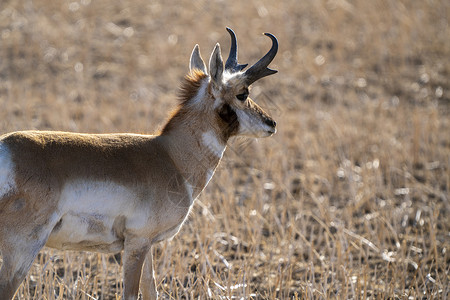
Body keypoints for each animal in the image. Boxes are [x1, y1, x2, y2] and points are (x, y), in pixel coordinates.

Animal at [0, 28, 278, 300]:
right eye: (243, 93)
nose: (272, 123)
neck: (170, 155)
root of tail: (6, 148)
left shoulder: (148, 246)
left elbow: (151, 289)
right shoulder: (137, 242)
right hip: (23, 251)